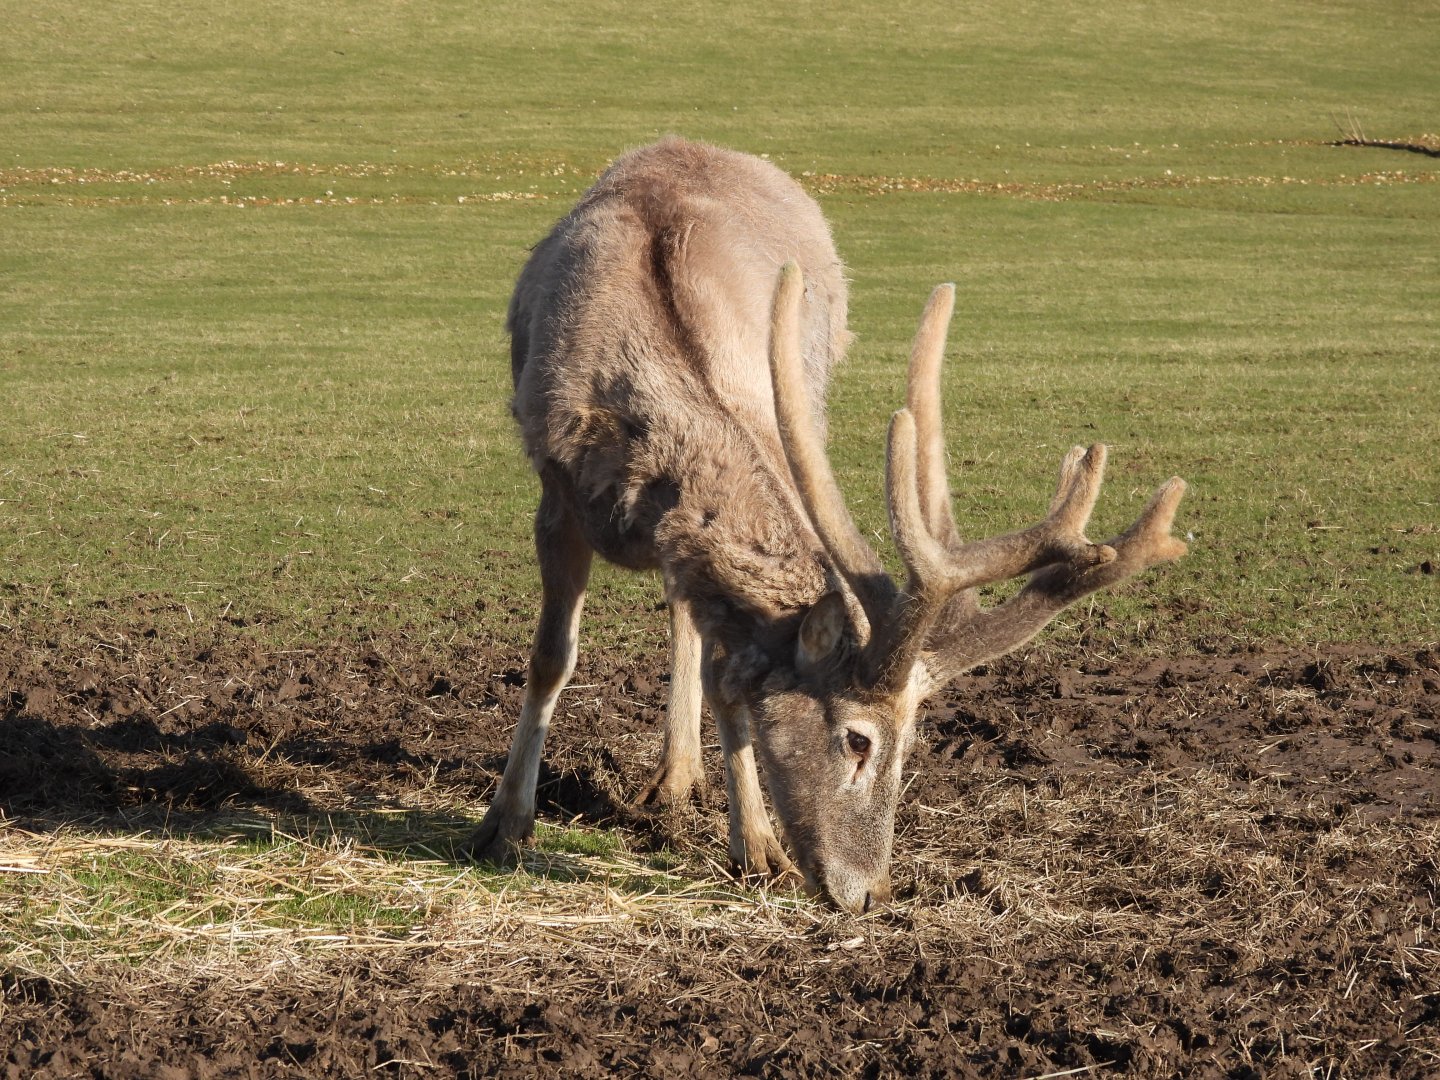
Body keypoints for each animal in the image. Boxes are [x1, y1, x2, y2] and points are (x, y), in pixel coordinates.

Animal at [464, 136, 1187, 913]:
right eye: (858, 740)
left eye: (915, 742)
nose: (871, 891)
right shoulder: (556, 489)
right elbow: (551, 656)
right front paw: (503, 826)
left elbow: (728, 678)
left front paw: (758, 851)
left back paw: (679, 779)